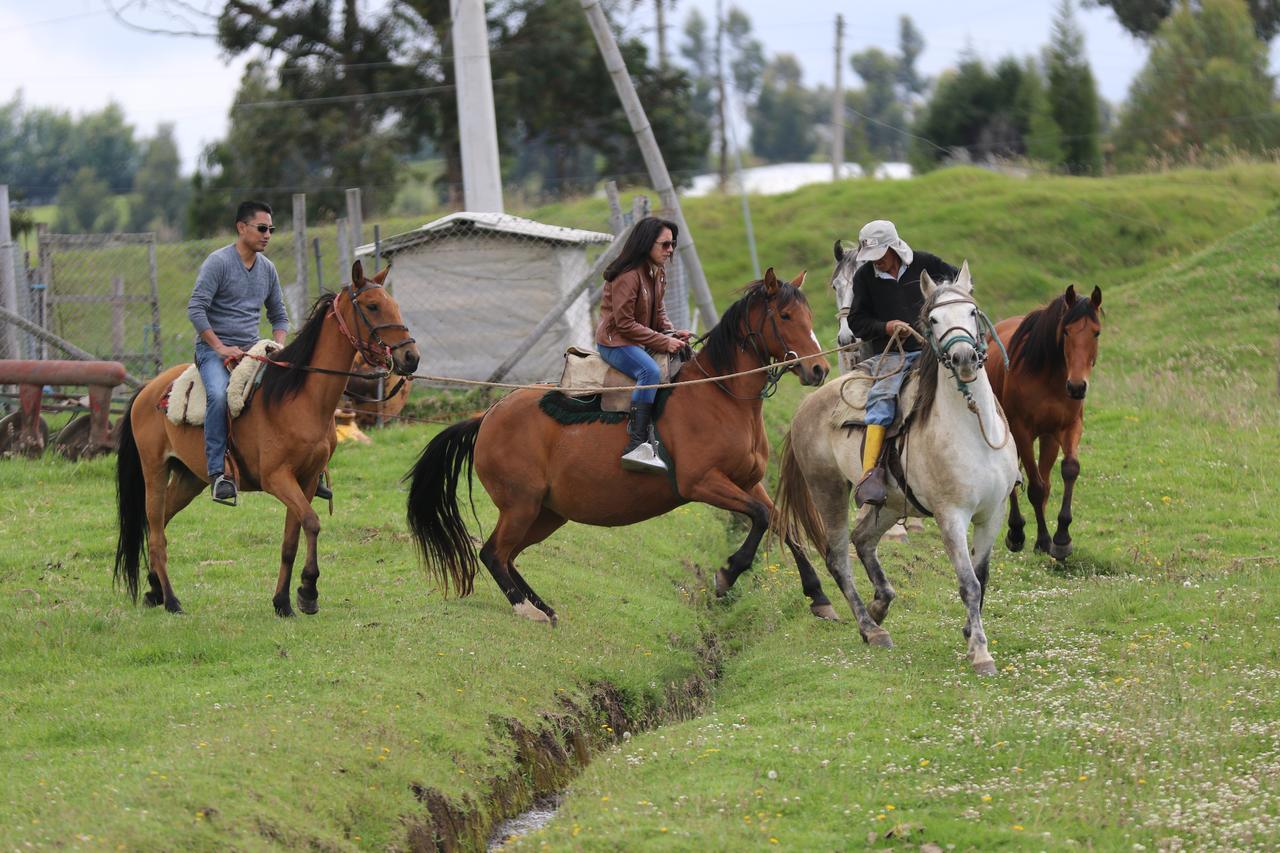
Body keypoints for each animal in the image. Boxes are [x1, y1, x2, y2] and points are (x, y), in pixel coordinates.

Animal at [112, 262, 417, 614]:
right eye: (372, 306)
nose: (411, 356)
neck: (299, 397)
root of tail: (147, 390)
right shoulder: (277, 478)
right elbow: (312, 522)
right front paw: (308, 591)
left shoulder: (306, 480)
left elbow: (291, 540)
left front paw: (283, 601)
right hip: (155, 472)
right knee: (156, 535)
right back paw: (172, 601)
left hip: (190, 478)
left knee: (158, 524)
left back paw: (154, 589)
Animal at [404, 268, 834, 622]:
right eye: (785, 316)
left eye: (809, 316)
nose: (819, 369)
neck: (720, 395)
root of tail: (487, 416)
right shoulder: (701, 483)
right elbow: (761, 518)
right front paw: (727, 574)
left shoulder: (747, 482)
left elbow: (780, 521)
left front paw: (819, 597)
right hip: (521, 506)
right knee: (493, 553)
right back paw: (530, 610)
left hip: (545, 513)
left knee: (507, 556)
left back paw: (544, 607)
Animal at [983, 279, 1105, 558]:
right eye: (1067, 332)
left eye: (1096, 333)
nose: (1077, 387)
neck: (1049, 376)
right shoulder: (1021, 432)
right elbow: (1036, 488)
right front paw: (1041, 538)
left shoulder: (1068, 427)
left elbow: (1068, 470)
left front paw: (1061, 538)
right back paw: (1016, 532)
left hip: (1048, 438)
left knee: (1045, 478)